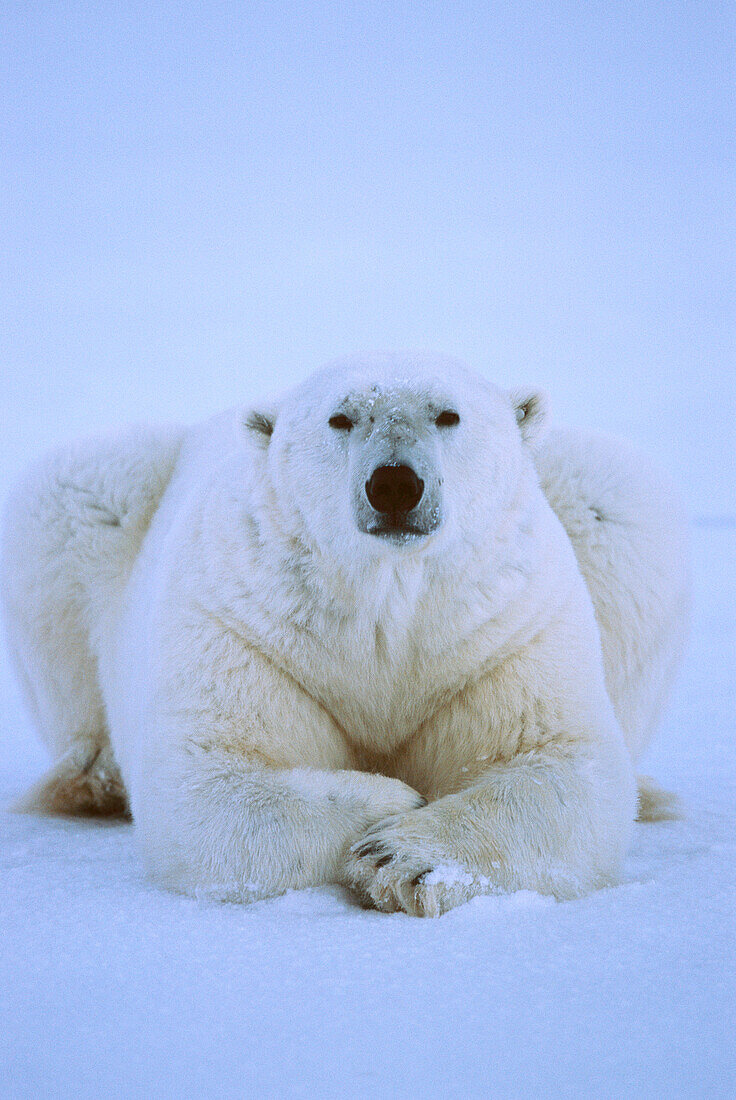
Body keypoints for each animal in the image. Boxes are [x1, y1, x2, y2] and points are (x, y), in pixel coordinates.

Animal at [1, 352, 690, 910]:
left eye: (449, 415)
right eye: (340, 419)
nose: (395, 484)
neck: (387, 601)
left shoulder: (502, 635)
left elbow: (564, 764)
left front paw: (403, 859)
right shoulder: (247, 628)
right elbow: (207, 782)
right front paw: (391, 803)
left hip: (595, 499)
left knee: (622, 502)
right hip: (104, 498)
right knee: (69, 501)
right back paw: (94, 776)